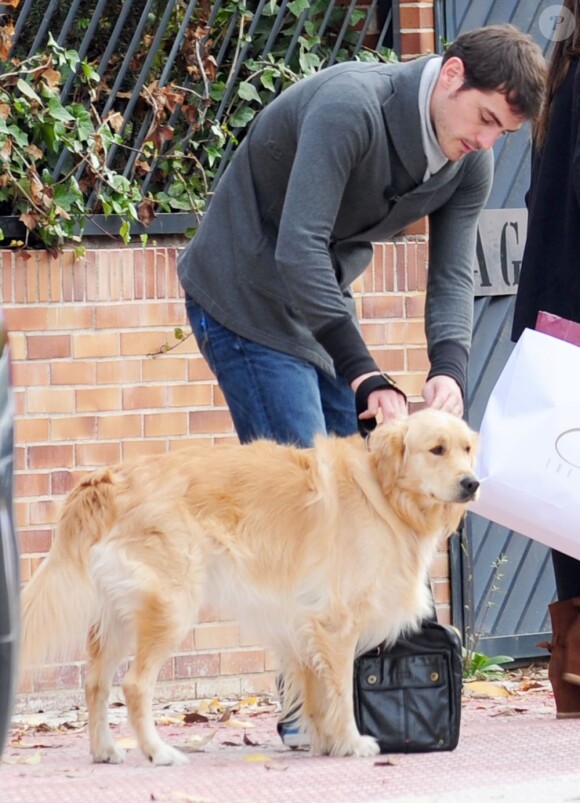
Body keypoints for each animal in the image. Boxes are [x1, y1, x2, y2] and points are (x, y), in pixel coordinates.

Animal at [20, 408, 478, 768]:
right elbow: (341, 692)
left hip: (116, 615)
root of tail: (106, 480)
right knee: (134, 685)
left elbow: (316, 693)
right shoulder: (336, 623)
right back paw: (157, 751)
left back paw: (105, 750)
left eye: (468, 449)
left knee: (95, 684)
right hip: (170, 608)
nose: (472, 483)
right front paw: (350, 742)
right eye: (437, 449)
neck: (383, 493)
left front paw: (325, 743)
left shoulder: (303, 623)